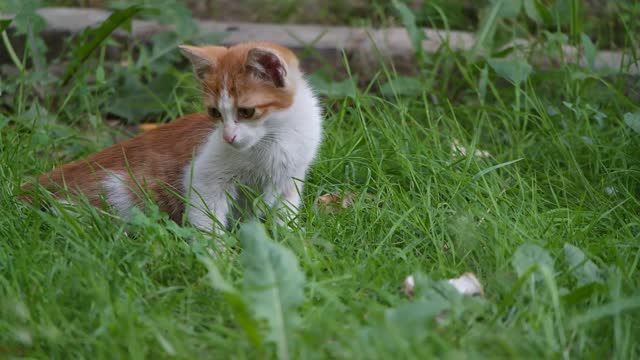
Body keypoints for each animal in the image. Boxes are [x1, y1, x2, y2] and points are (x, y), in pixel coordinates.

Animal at [23, 41, 324, 233]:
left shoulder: (291, 180)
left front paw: (291, 241)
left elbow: (285, 214)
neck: (278, 136)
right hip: (120, 191)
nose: (228, 137)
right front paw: (217, 256)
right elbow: (207, 216)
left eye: (246, 111)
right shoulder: (204, 176)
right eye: (214, 112)